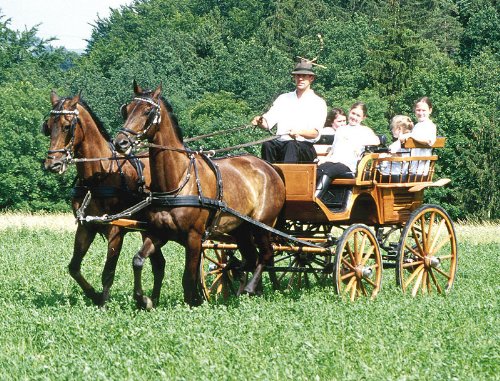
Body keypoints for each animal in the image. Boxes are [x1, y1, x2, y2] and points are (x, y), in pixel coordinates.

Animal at [43, 90, 164, 308]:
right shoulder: (86, 227)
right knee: (159, 265)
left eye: (67, 126)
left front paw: (102, 305)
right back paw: (152, 300)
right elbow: (74, 267)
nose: (52, 164)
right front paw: (94, 295)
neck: (99, 176)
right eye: (48, 127)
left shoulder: (115, 229)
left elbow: (108, 271)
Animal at [114, 81, 286, 308]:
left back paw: (249, 288)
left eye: (148, 110)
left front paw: (192, 303)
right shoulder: (158, 234)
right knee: (250, 259)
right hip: (241, 229)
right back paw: (241, 289)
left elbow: (188, 277)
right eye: (126, 109)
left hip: (261, 225)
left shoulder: (194, 238)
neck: (178, 181)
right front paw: (144, 299)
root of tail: (270, 167)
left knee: (266, 255)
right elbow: (138, 260)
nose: (120, 143)